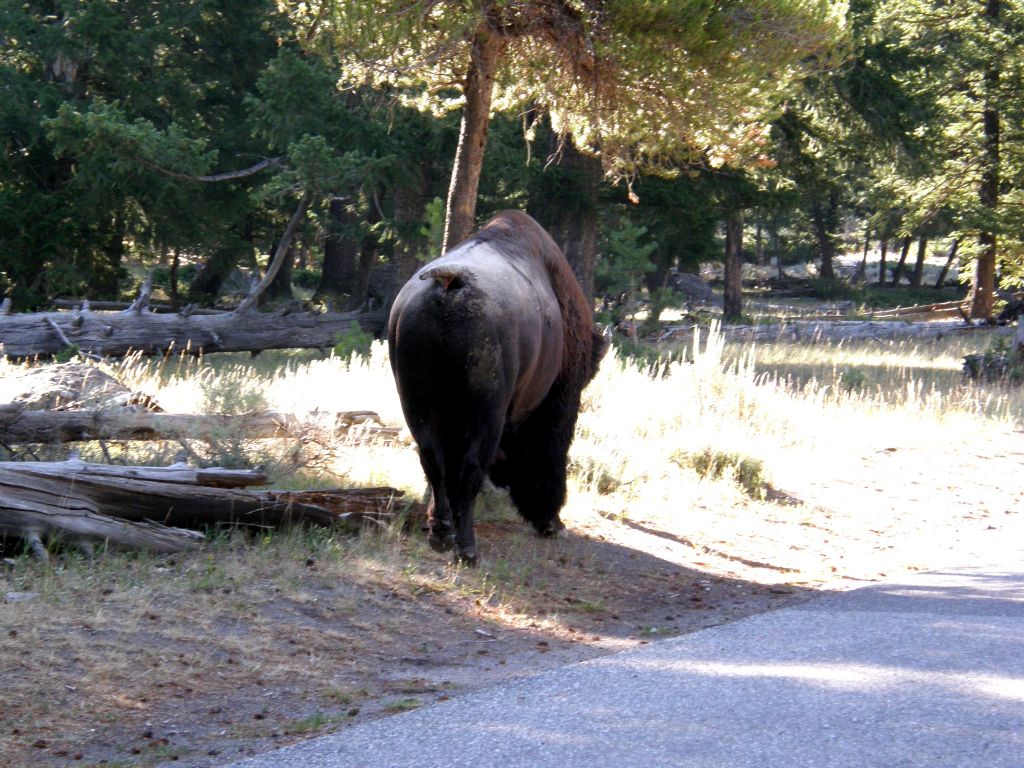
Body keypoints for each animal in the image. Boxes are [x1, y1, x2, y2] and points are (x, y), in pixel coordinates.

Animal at [387, 211, 602, 565]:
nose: (551, 522)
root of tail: (450, 284)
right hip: (486, 412)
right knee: (471, 467)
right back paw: (467, 549)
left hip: (415, 400)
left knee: (432, 459)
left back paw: (440, 532)